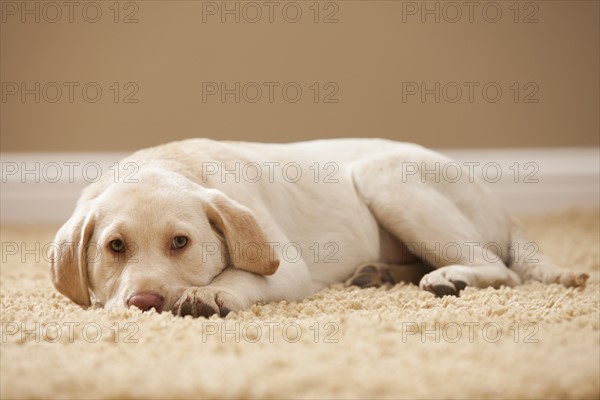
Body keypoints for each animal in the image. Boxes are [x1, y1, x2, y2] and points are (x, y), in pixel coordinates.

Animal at [49, 139, 588, 318]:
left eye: (181, 242)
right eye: (115, 246)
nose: (144, 303)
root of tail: (505, 208)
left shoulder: (288, 269)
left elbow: (243, 275)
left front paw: (210, 294)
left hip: (386, 176)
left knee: (501, 269)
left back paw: (447, 277)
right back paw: (380, 274)